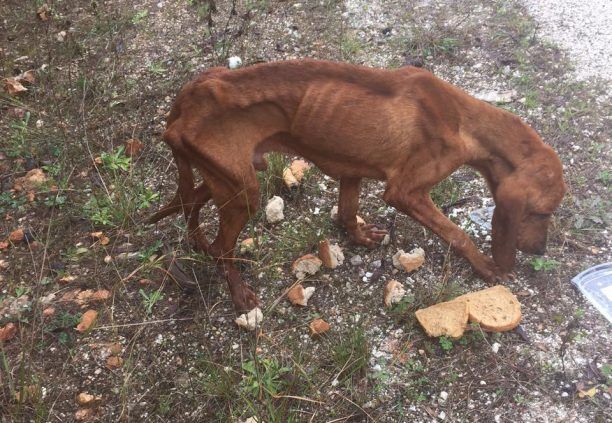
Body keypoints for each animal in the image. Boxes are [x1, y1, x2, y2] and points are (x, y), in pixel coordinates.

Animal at [147, 59, 564, 312]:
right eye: (543, 212)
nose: (539, 249)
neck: (465, 119)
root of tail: (190, 95)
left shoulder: (352, 170)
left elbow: (347, 213)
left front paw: (360, 238)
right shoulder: (406, 192)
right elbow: (457, 234)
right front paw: (488, 267)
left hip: (232, 177)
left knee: (192, 205)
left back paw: (198, 243)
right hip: (242, 191)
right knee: (222, 247)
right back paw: (238, 293)